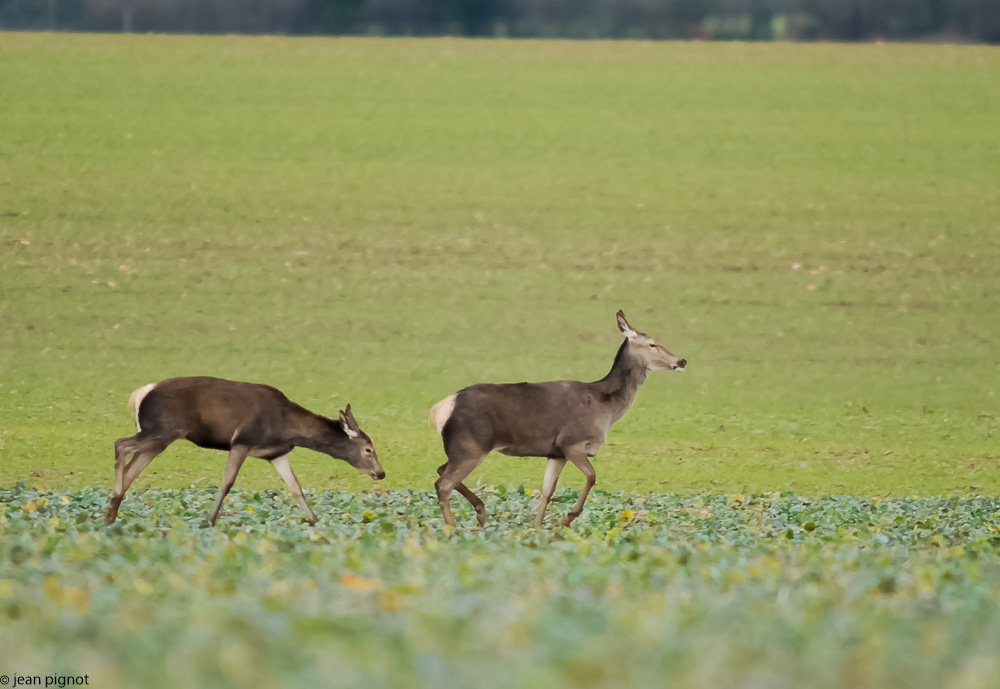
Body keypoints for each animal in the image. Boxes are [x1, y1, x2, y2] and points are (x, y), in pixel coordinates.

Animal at [106, 374, 382, 524]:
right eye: (369, 449)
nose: (381, 473)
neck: (287, 427)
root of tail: (139, 395)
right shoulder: (242, 441)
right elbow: (228, 482)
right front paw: (210, 520)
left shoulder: (277, 454)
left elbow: (296, 488)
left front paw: (315, 523)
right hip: (162, 429)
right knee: (121, 444)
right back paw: (113, 504)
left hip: (161, 438)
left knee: (132, 469)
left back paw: (111, 513)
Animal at [430, 310, 688, 528]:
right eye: (652, 343)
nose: (682, 361)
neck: (606, 408)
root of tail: (442, 407)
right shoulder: (572, 442)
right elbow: (592, 476)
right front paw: (568, 518)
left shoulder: (556, 453)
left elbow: (547, 491)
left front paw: (536, 528)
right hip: (470, 446)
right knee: (443, 484)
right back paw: (452, 528)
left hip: (461, 448)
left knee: (441, 470)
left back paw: (480, 512)